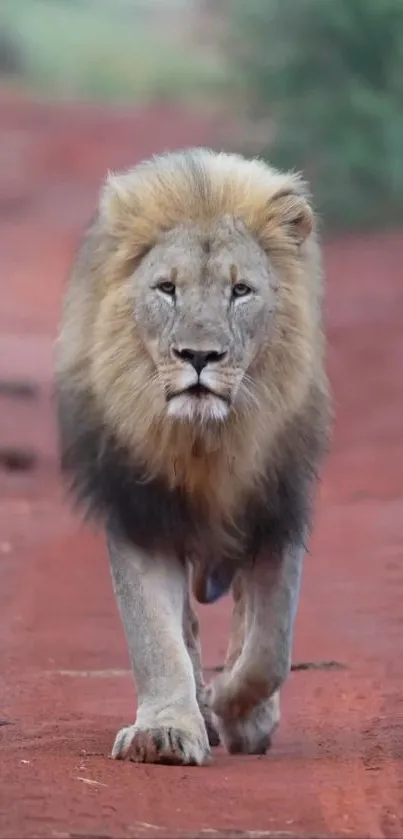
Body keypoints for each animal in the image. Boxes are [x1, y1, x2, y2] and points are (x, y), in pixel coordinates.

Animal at [54, 146, 332, 768]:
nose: (199, 356)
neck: (207, 442)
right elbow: (155, 638)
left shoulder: (277, 508)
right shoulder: (141, 512)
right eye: (166, 288)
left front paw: (239, 708)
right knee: (185, 626)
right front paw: (167, 731)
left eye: (241, 291)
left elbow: (270, 647)